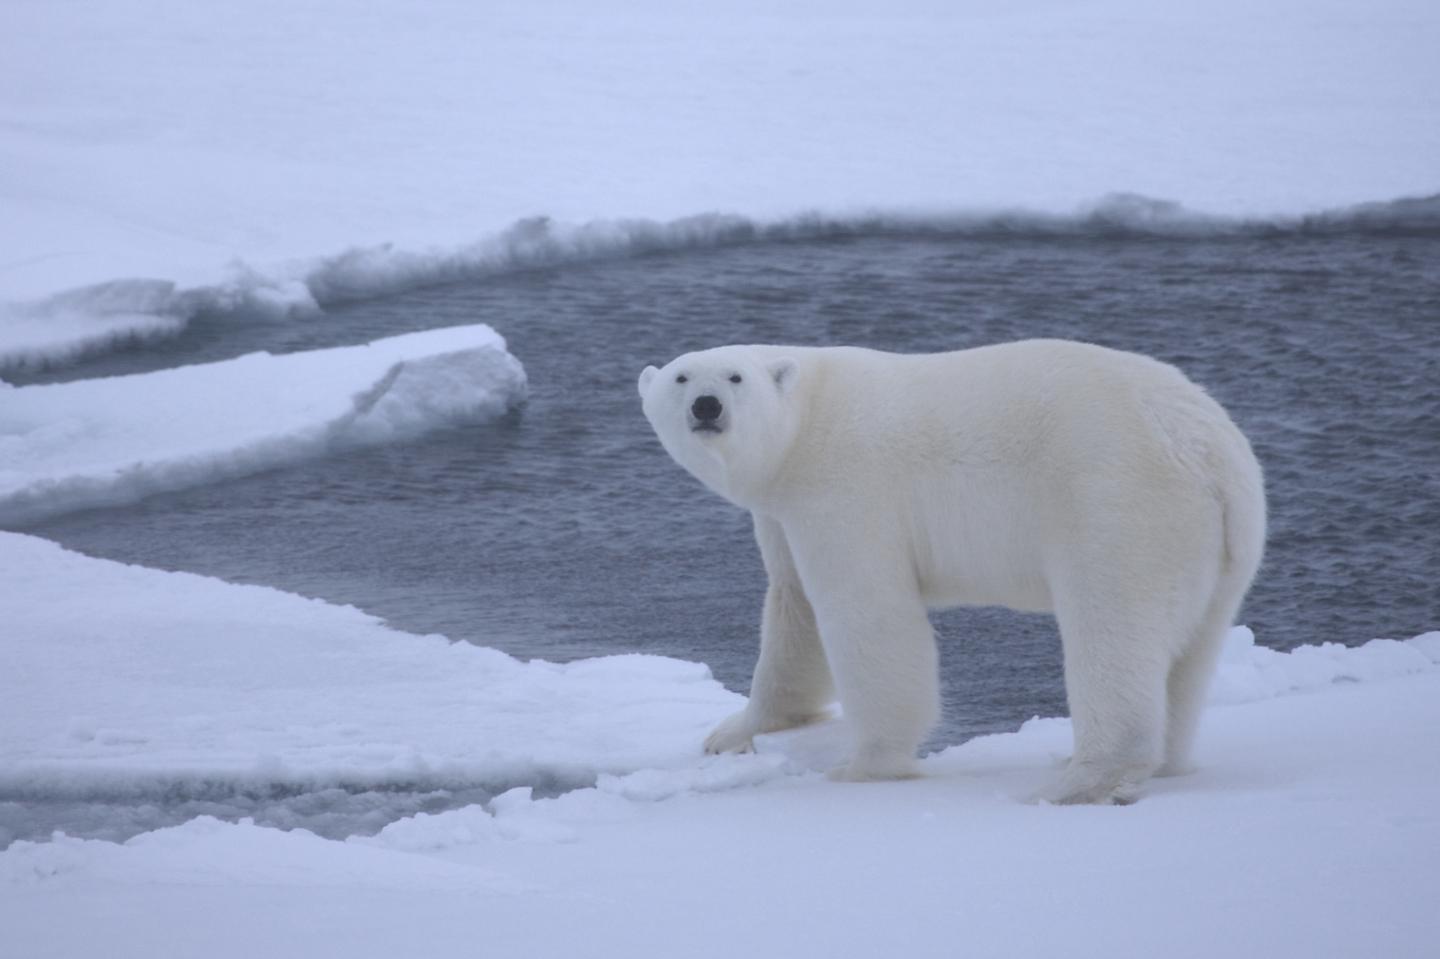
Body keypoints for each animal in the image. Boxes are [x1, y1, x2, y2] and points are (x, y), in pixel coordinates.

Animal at [638, 339, 1265, 805]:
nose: (708, 406)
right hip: (1220, 544)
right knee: (1191, 653)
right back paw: (1157, 762)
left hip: (1117, 499)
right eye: (682, 378)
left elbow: (865, 610)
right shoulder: (781, 510)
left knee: (1112, 627)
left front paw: (863, 767)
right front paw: (735, 733)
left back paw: (1078, 779)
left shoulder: (846, 485)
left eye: (734, 378)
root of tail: (1207, 449)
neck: (805, 423)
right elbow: (796, 609)